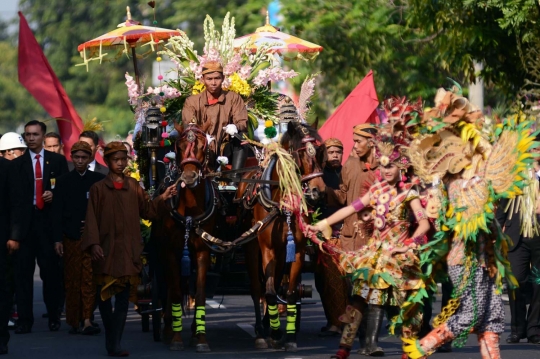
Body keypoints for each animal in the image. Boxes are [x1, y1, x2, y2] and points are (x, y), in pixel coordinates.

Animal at [156, 122, 217, 352]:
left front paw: (201, 338)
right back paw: (166, 328)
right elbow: (174, 291)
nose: (189, 178)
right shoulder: (171, 251)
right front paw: (175, 337)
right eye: (180, 147)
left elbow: (199, 293)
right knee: (167, 286)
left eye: (202, 146)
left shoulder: (202, 251)